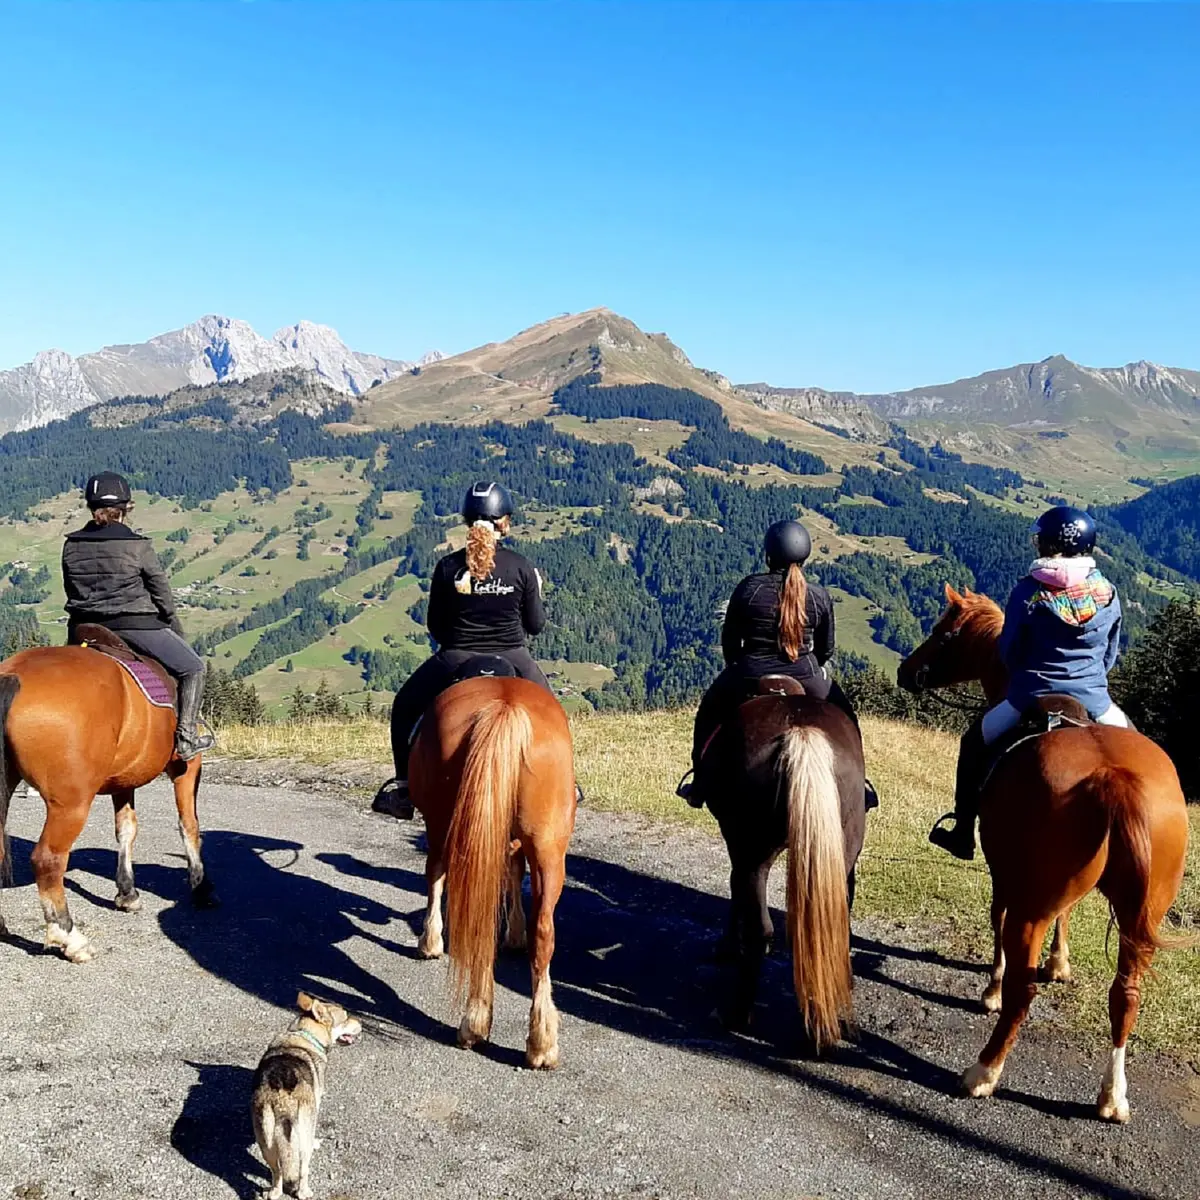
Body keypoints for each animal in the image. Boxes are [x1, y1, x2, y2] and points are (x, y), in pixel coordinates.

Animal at [0, 634, 216, 963]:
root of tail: (13, 674)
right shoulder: (187, 767)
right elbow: (188, 825)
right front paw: (200, 886)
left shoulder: (123, 780)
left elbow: (126, 829)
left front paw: (127, 893)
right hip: (71, 805)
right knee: (48, 860)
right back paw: (70, 938)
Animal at [407, 674, 576, 1069]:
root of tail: (505, 708)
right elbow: (513, 873)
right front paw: (515, 933)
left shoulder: (438, 830)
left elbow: (434, 877)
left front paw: (430, 941)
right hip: (548, 847)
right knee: (543, 931)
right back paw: (541, 1043)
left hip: (447, 825)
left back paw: (474, 1022)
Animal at [702, 676, 868, 1052]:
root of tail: (800, 733)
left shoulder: (734, 840)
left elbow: (735, 888)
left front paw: (726, 945)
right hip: (842, 850)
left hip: (752, 849)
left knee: (759, 926)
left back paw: (737, 1014)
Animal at [898, 584, 1190, 1121]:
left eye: (943, 631)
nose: (908, 672)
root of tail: (1114, 778)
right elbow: (1067, 915)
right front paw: (1061, 963)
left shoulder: (1004, 872)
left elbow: (996, 921)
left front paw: (990, 989)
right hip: (1143, 914)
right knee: (1126, 994)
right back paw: (1112, 1096)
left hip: (1031, 907)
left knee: (1023, 988)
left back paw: (984, 1071)